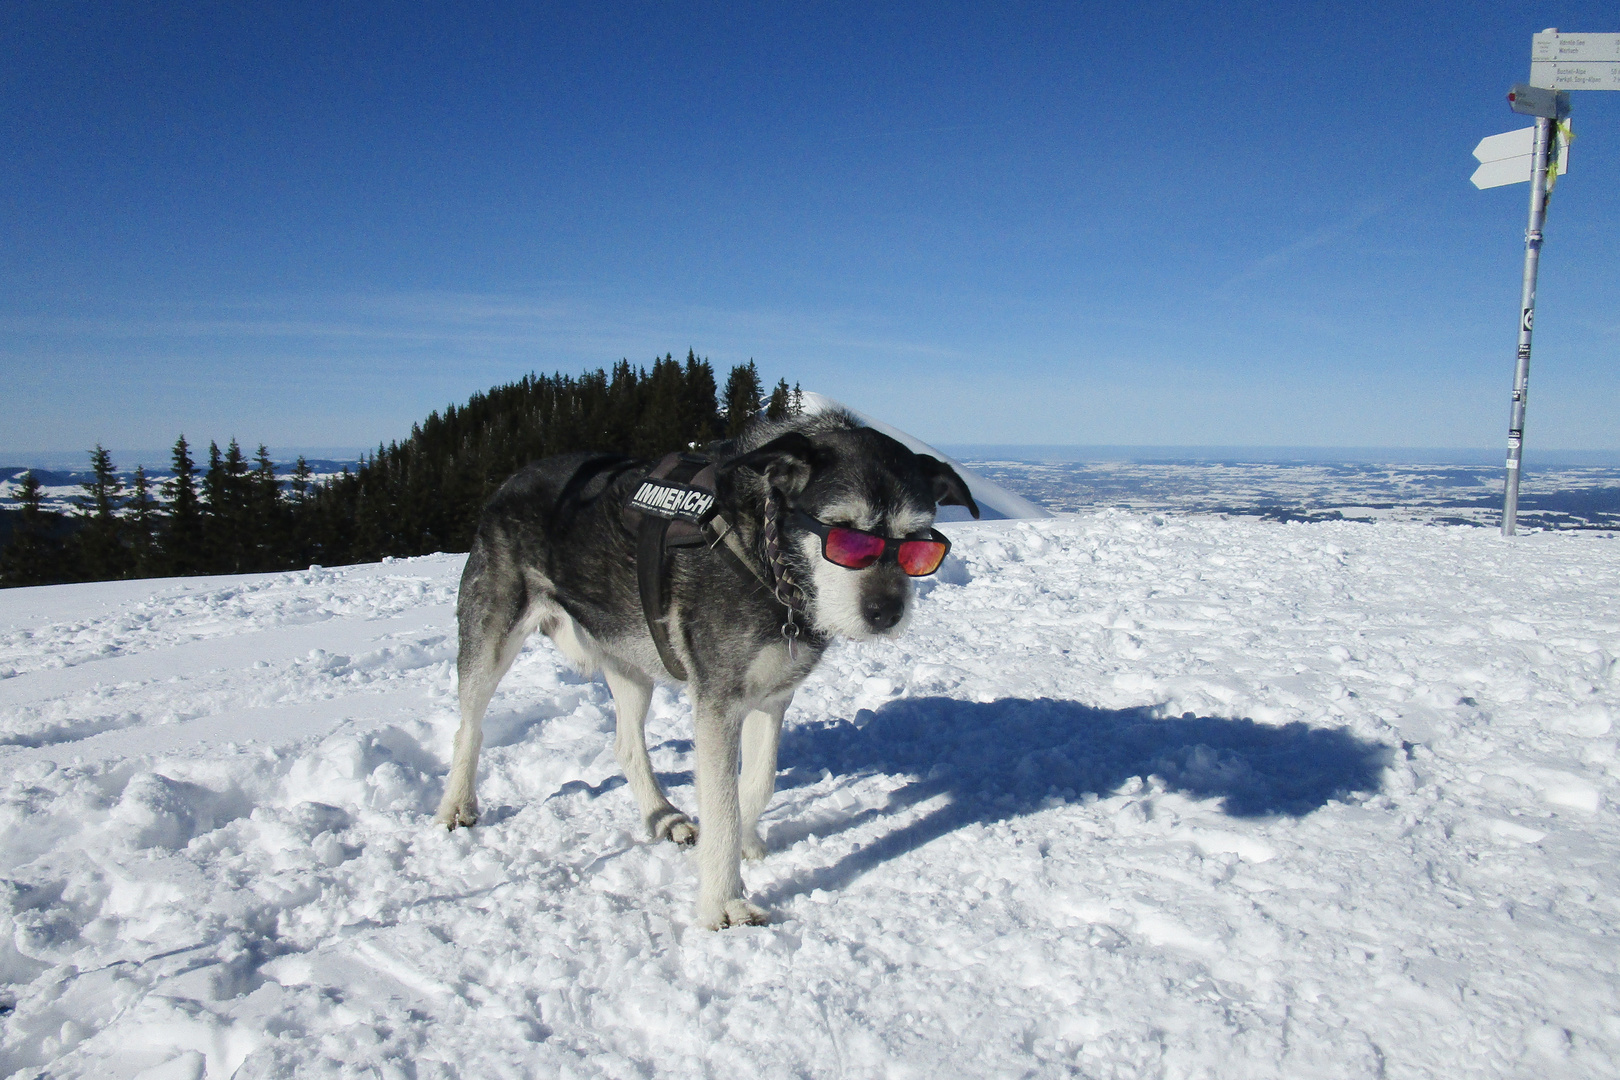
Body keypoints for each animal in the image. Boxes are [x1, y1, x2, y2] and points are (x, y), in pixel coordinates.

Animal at [430, 408, 978, 932]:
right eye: (845, 533)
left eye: (918, 542)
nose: (887, 612)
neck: (766, 551)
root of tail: (510, 479)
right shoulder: (719, 703)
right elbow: (723, 803)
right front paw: (724, 903)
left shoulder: (772, 697)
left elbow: (756, 784)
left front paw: (745, 843)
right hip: (491, 638)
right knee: (468, 728)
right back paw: (456, 804)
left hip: (630, 661)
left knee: (627, 743)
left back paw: (663, 817)